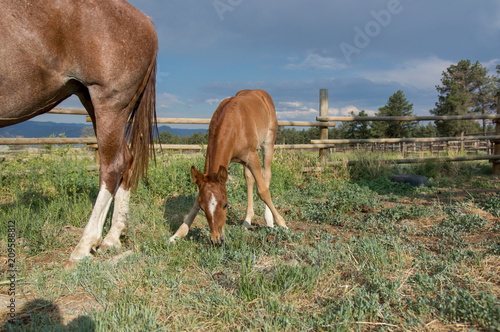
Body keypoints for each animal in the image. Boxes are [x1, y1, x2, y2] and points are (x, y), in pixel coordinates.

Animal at [0, 0, 158, 264]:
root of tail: (146, 21)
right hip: (92, 101)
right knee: (127, 160)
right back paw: (112, 237)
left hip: (109, 102)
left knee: (112, 168)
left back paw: (84, 246)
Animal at [168, 89, 288, 244]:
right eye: (202, 208)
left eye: (226, 204)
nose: (217, 240)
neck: (233, 123)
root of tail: (262, 93)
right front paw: (177, 234)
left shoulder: (252, 156)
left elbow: (262, 191)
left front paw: (282, 224)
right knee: (249, 179)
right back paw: (247, 220)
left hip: (268, 142)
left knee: (266, 174)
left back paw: (269, 220)